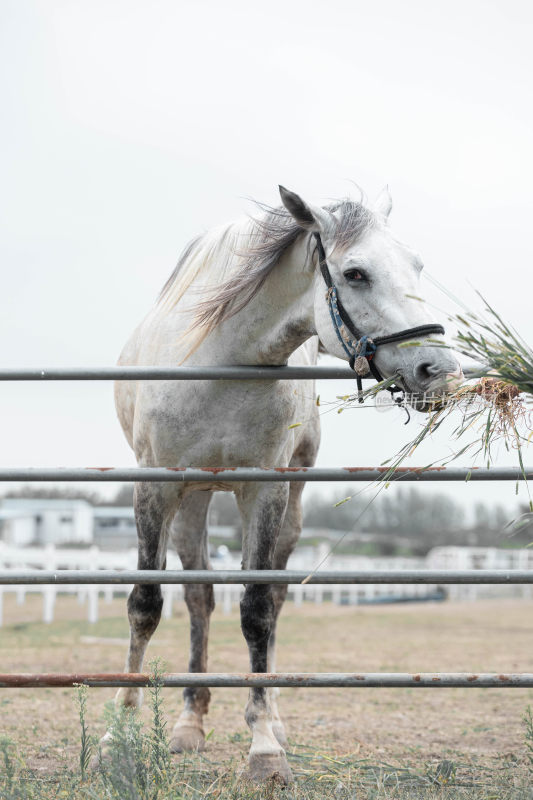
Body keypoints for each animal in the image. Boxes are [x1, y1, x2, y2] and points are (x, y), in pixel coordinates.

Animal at [110, 186, 460, 780]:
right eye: (356, 273)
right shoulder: (155, 488)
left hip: (289, 504)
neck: (220, 360)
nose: (440, 372)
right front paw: (118, 734)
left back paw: (271, 718)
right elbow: (146, 604)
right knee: (199, 598)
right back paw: (189, 722)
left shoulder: (265, 492)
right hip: (193, 503)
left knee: (271, 600)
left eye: (415, 265)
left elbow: (255, 612)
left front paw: (264, 748)